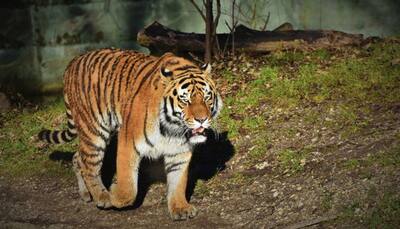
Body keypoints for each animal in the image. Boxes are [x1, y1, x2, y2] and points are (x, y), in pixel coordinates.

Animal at [38, 48, 223, 220]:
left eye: (207, 97)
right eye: (185, 100)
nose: (202, 119)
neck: (173, 127)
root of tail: (73, 61)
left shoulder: (179, 152)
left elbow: (178, 182)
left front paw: (180, 208)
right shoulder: (128, 142)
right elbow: (129, 187)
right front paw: (114, 195)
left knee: (78, 157)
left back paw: (86, 194)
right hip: (94, 132)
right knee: (89, 165)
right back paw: (102, 197)